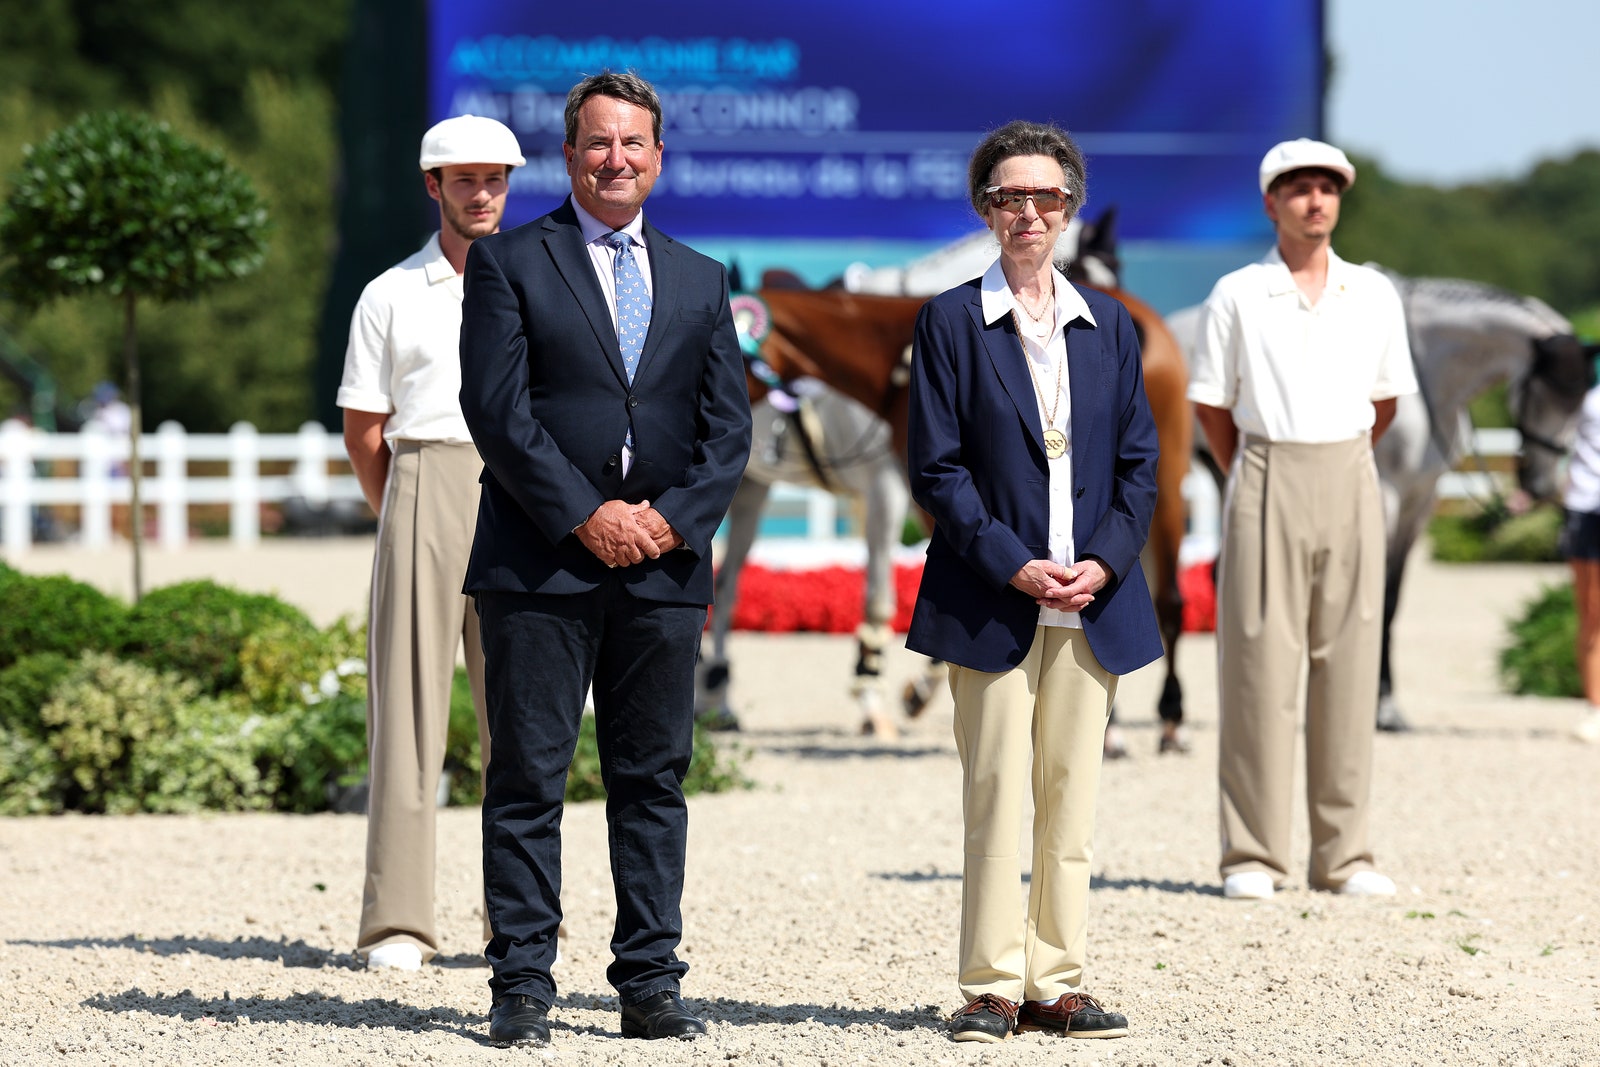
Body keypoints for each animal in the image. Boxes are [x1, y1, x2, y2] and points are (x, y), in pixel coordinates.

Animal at [1171, 271, 1593, 729]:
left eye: (1579, 402)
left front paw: (1385, 704)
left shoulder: (1419, 501)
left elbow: (1391, 599)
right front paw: (1378, 706)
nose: (1541, 484)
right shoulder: (1387, 495)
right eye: (1540, 392)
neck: (1427, 377)